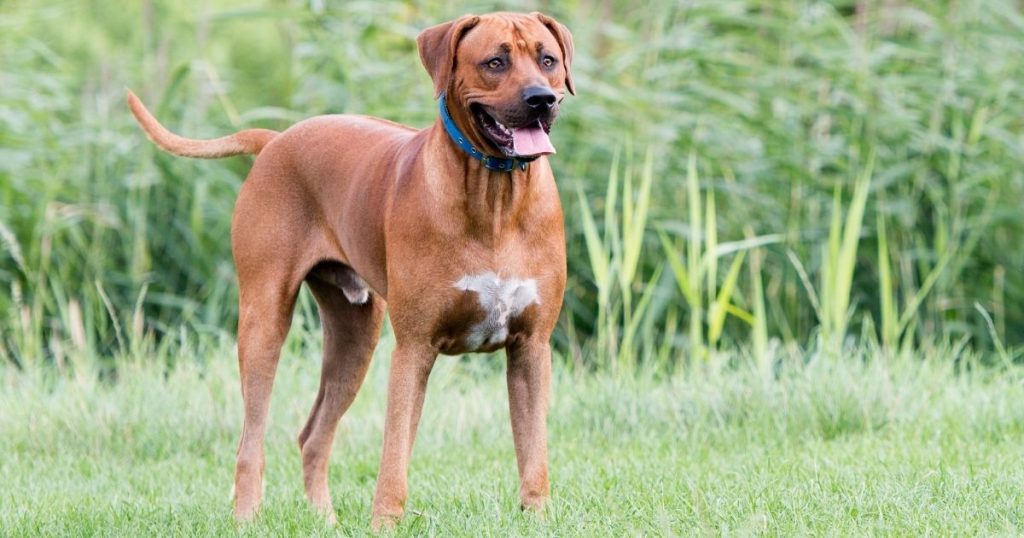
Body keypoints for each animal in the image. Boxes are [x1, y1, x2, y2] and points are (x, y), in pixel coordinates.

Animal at [126, 11, 573, 528]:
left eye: (548, 60)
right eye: (495, 62)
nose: (540, 99)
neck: (495, 196)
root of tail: (276, 140)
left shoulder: (531, 349)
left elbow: (534, 453)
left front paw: (538, 519)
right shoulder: (413, 349)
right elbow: (394, 456)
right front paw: (385, 525)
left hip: (354, 335)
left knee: (313, 436)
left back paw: (326, 521)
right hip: (263, 321)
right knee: (250, 441)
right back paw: (247, 518)